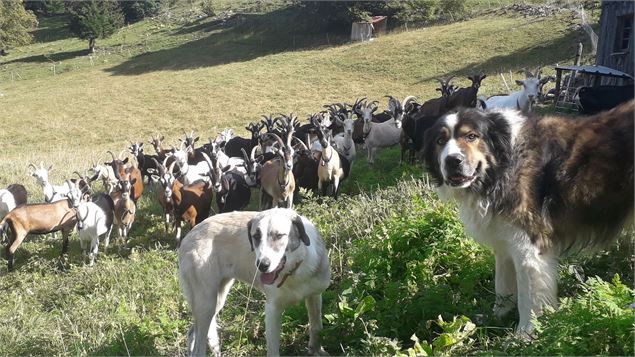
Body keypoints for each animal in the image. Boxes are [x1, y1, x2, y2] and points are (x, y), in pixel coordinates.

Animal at [178, 207, 330, 354]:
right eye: (256, 236)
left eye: (279, 235)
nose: (262, 265)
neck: (293, 271)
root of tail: (189, 235)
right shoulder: (272, 309)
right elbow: (273, 349)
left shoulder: (315, 296)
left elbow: (316, 327)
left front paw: (317, 351)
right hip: (206, 305)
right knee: (197, 346)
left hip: (217, 300)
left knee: (192, 334)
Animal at [422, 99, 635, 330]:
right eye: (440, 141)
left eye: (471, 136)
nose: (452, 160)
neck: (503, 164)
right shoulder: (504, 239)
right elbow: (502, 286)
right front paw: (496, 318)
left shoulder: (529, 246)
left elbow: (528, 298)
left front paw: (525, 333)